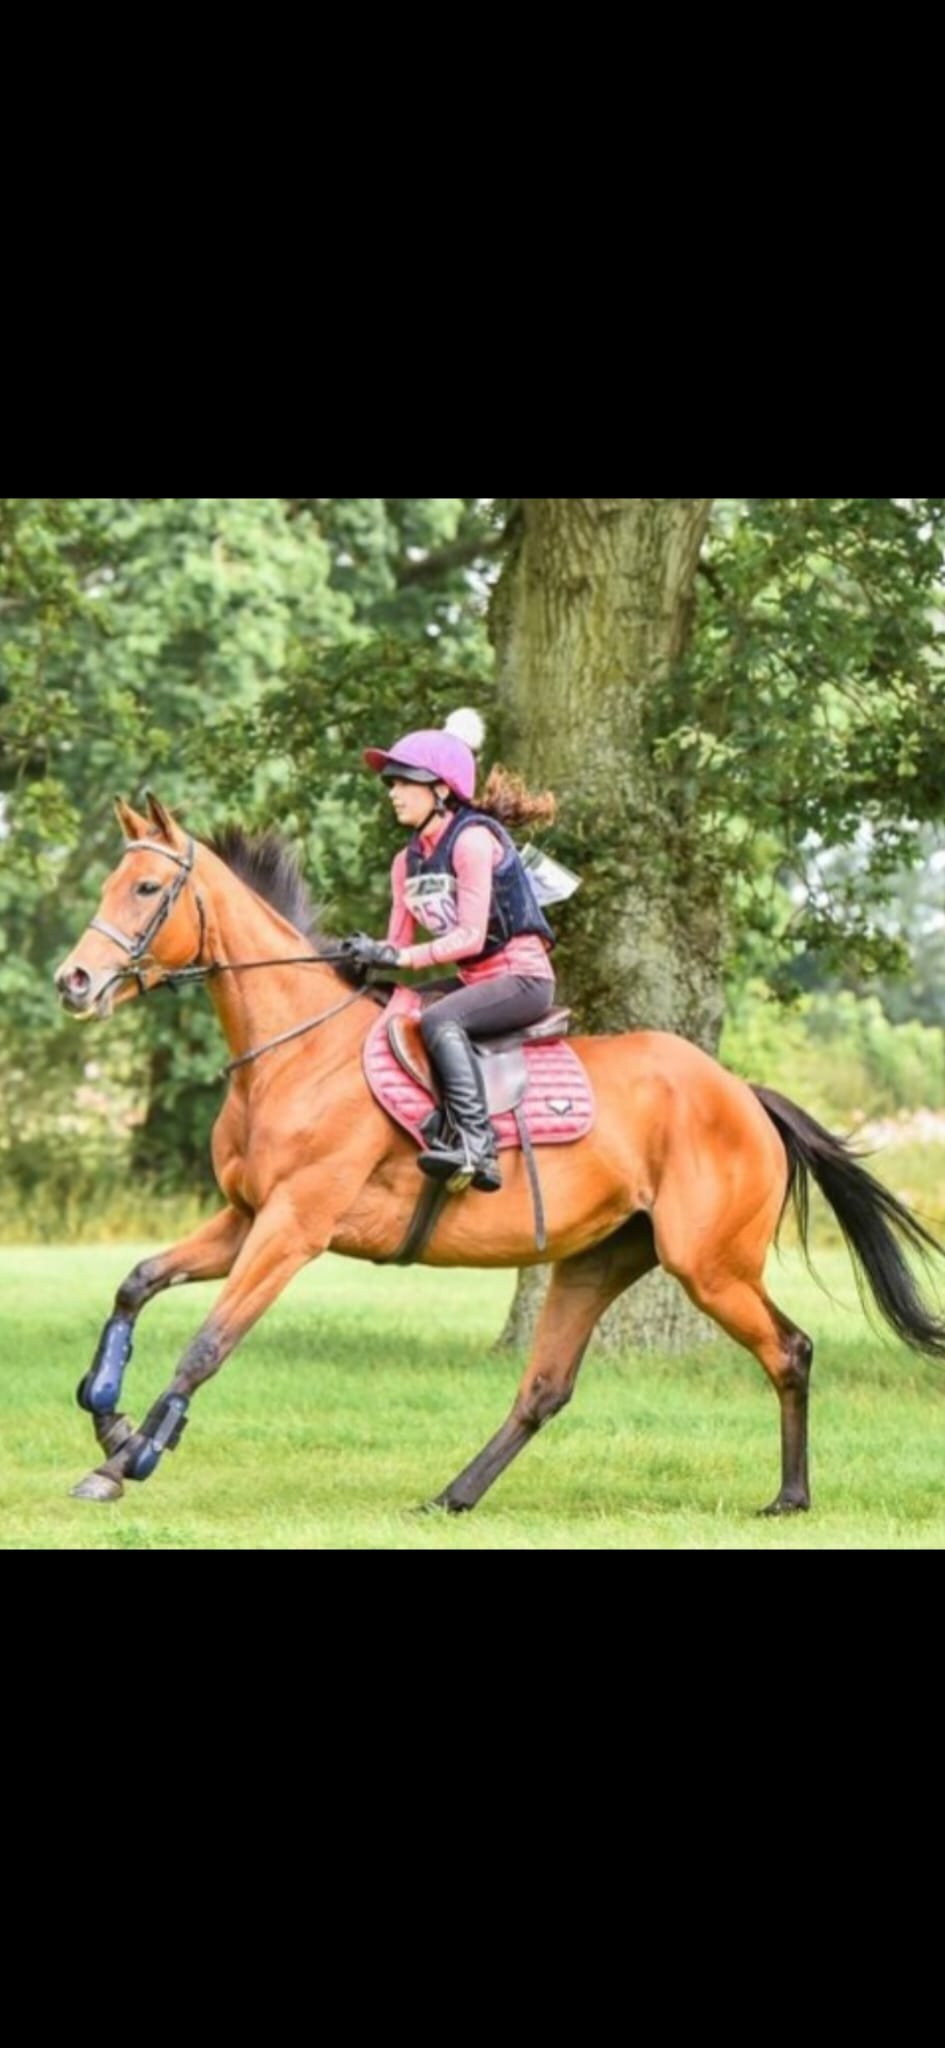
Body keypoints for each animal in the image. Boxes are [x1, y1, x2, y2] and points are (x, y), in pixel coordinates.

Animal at [54, 791, 945, 1515]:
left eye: (145, 889)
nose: (73, 981)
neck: (295, 1050)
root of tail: (743, 1094)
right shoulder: (245, 1217)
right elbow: (136, 1284)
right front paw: (109, 1422)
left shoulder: (293, 1228)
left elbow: (207, 1344)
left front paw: (129, 1461)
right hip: (600, 1259)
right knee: (544, 1388)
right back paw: (452, 1495)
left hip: (709, 1265)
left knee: (788, 1350)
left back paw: (789, 1497)